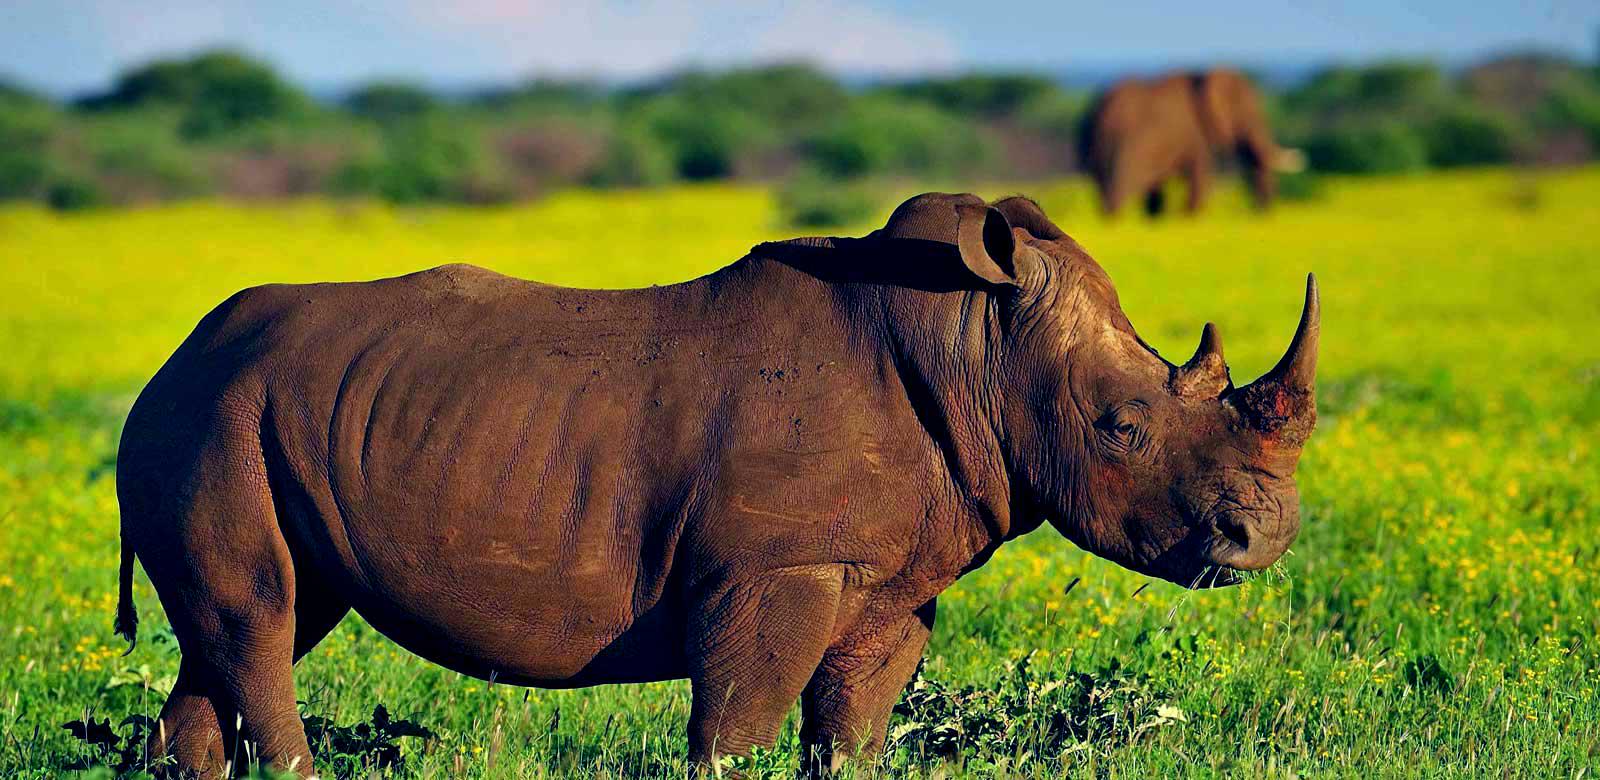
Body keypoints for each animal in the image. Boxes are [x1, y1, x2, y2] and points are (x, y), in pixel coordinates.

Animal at [114, 193, 1319, 777]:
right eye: (1124, 428)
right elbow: (736, 725)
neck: (977, 343)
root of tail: (171, 359)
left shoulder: (887, 580)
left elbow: (851, 730)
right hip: (208, 420)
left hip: (240, 412)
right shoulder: (776, 568)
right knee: (262, 619)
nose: (1263, 536)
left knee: (250, 627)